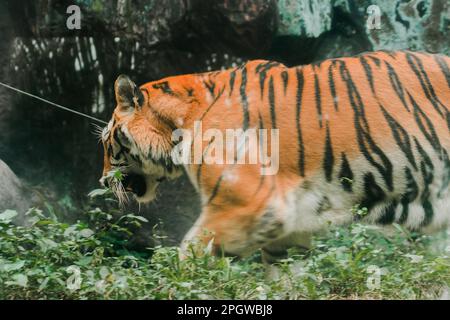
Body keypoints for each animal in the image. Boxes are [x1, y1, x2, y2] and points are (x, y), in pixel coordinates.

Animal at [99, 50, 450, 264]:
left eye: (106, 142)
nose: (102, 181)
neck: (181, 122)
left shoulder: (250, 202)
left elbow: (191, 253)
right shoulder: (290, 227)